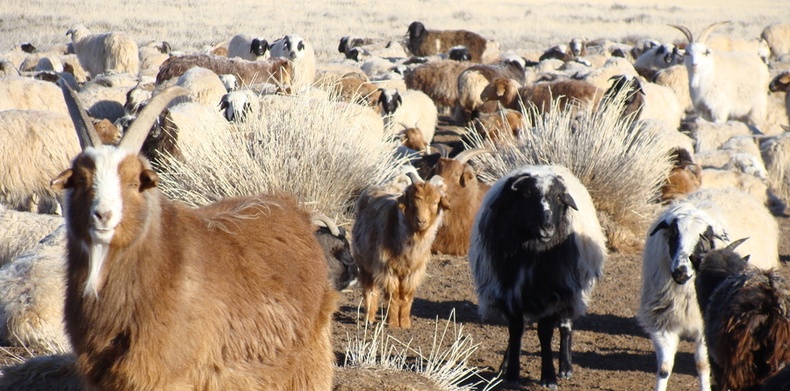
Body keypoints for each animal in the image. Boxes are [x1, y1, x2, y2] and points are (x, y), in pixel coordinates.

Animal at [354, 173, 452, 330]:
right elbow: (393, 295)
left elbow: (407, 296)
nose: (421, 221)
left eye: (435, 202)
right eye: (412, 202)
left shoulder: (414, 271)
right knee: (370, 289)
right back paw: (368, 318)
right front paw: (393, 324)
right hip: (364, 262)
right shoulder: (387, 268)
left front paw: (405, 324)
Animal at [470, 165, 612, 386]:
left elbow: (545, 333)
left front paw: (549, 377)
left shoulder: (556, 294)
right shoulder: (509, 292)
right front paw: (511, 374)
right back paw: (505, 364)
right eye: (527, 194)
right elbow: (516, 330)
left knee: (565, 326)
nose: (547, 227)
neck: (533, 252)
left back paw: (565, 367)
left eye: (559, 197)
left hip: (572, 290)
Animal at [636, 187, 780, 391]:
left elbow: (702, 365)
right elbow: (664, 368)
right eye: (674, 235)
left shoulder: (706, 327)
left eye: (703, 238)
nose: (680, 272)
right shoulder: (662, 321)